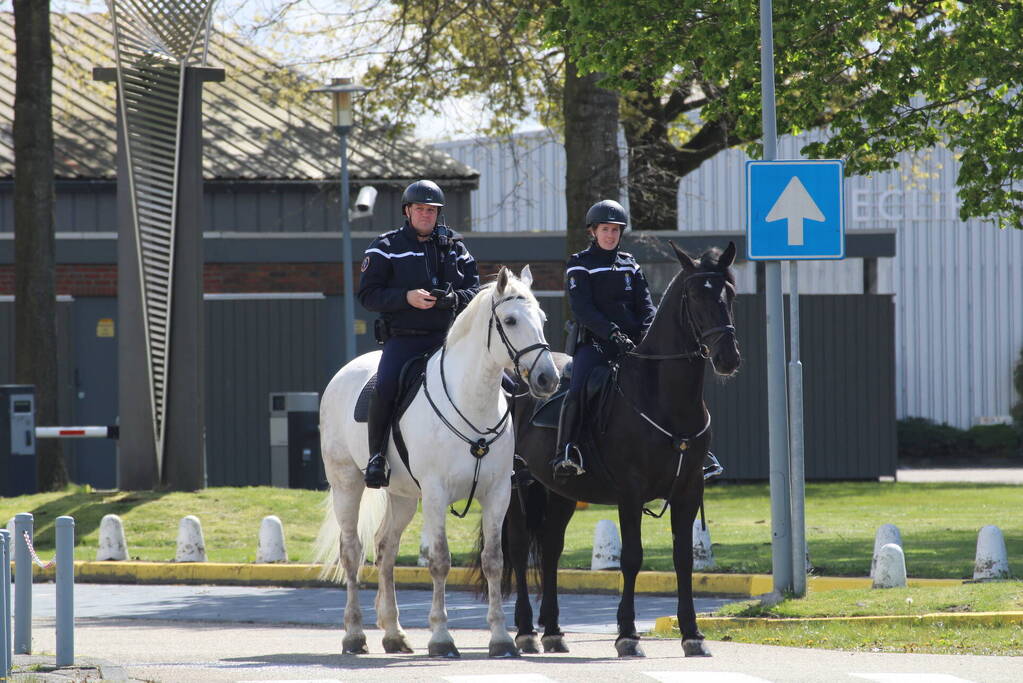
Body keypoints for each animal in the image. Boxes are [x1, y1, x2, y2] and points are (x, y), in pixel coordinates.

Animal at [319, 265, 560, 654]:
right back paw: (354, 635)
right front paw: (441, 637)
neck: (471, 399)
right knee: (353, 551)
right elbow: (440, 561)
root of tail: (344, 373)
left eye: (541, 319)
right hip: (347, 484)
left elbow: (494, 561)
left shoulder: (498, 493)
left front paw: (500, 638)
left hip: (402, 496)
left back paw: (394, 632)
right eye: (510, 320)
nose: (547, 378)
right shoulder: (435, 493)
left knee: (386, 549)